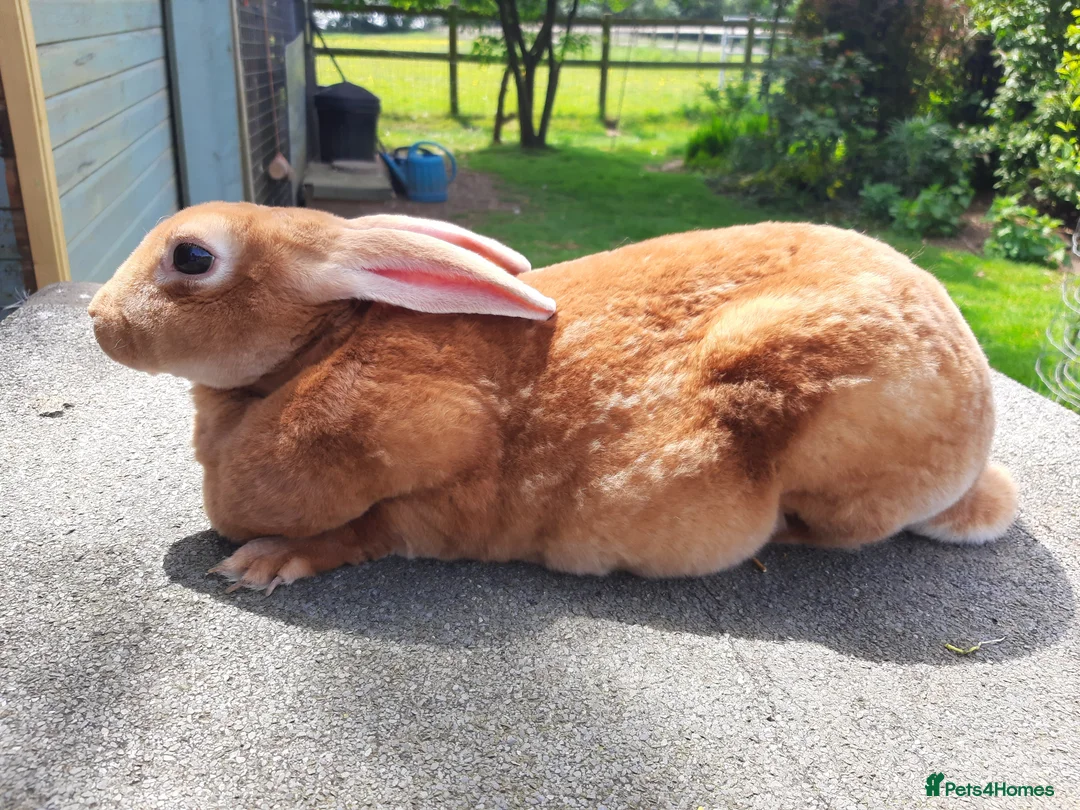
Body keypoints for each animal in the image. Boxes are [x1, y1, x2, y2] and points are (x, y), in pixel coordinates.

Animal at [88, 202, 1018, 594]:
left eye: (193, 258)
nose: (98, 318)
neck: (319, 345)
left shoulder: (434, 461)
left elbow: (365, 532)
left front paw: (263, 564)